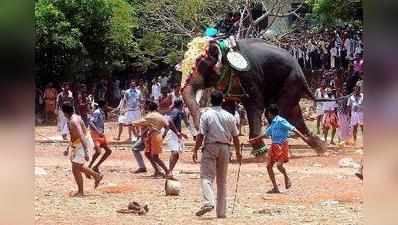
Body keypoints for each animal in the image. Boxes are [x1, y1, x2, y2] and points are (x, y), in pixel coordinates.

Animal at [182, 37, 328, 154]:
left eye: (198, 64)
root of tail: (302, 73)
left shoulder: (249, 75)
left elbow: (254, 105)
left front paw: (260, 154)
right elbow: (227, 107)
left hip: (291, 81)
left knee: (282, 112)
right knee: (293, 114)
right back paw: (320, 148)